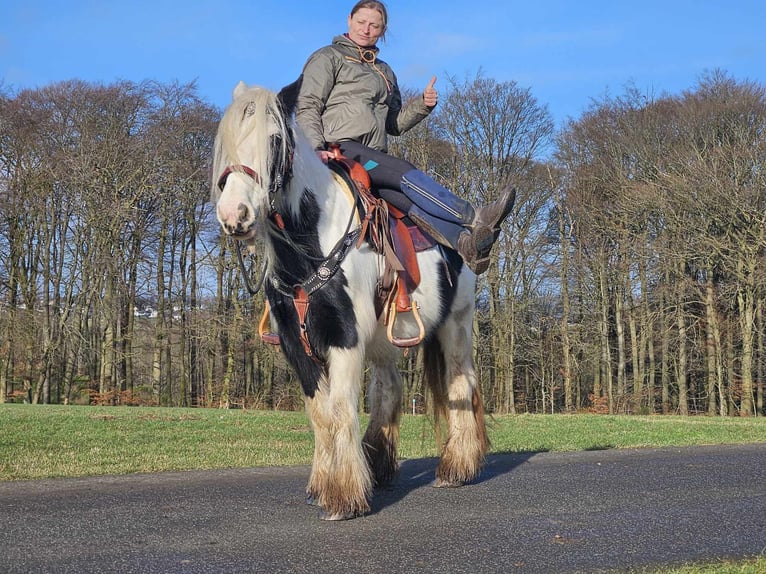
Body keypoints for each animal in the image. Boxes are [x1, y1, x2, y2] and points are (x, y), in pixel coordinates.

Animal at [212, 80, 486, 520]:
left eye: (274, 141)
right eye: (226, 142)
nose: (234, 215)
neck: (311, 246)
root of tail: (461, 243)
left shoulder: (344, 338)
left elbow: (340, 410)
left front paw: (344, 497)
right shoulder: (296, 345)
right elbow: (320, 414)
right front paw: (325, 486)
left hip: (456, 326)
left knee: (461, 383)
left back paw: (457, 468)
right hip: (385, 338)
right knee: (389, 388)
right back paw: (379, 464)